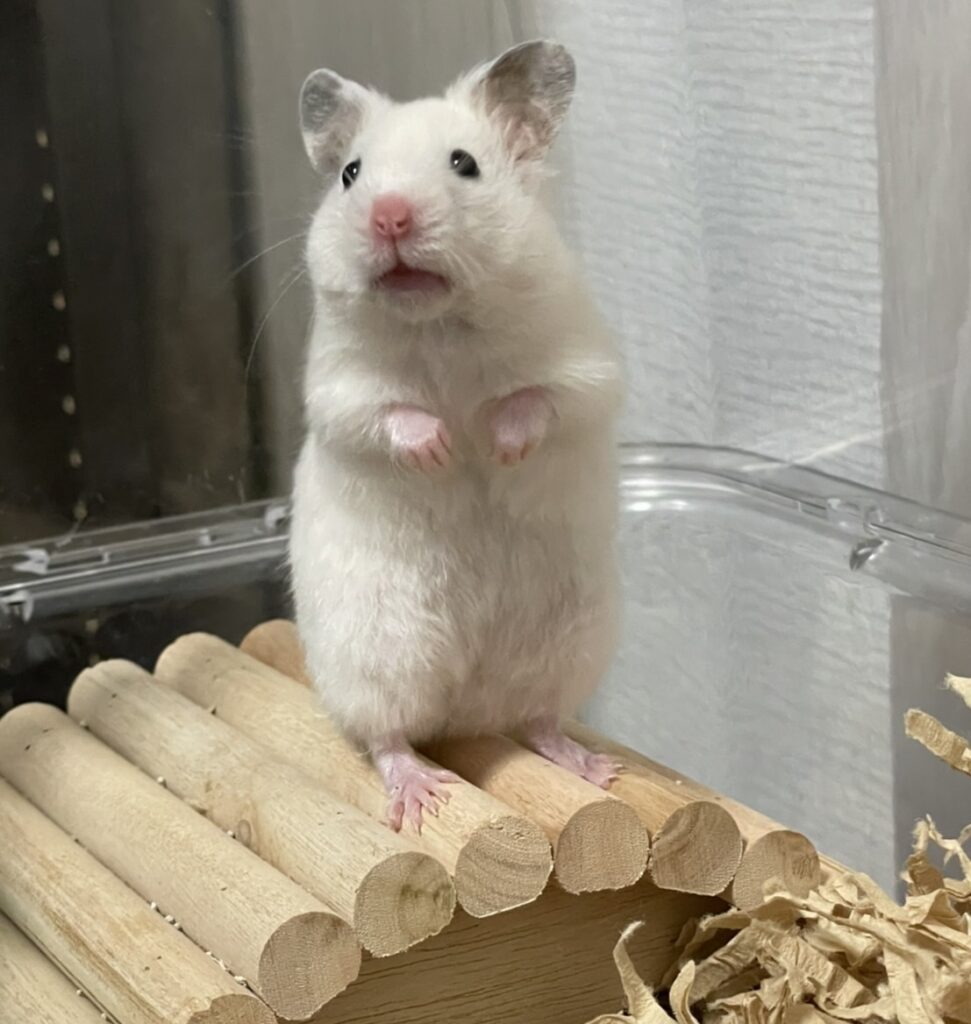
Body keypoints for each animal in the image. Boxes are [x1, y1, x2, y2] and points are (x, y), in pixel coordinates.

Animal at [290, 39, 622, 831]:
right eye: (350, 174)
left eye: (464, 163)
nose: (389, 217)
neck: (440, 320)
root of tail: (467, 709)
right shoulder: (339, 391)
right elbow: (388, 416)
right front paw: (442, 448)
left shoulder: (589, 370)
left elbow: (538, 399)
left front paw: (498, 446)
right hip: (375, 654)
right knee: (386, 735)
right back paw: (419, 797)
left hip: (568, 644)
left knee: (539, 719)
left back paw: (595, 768)